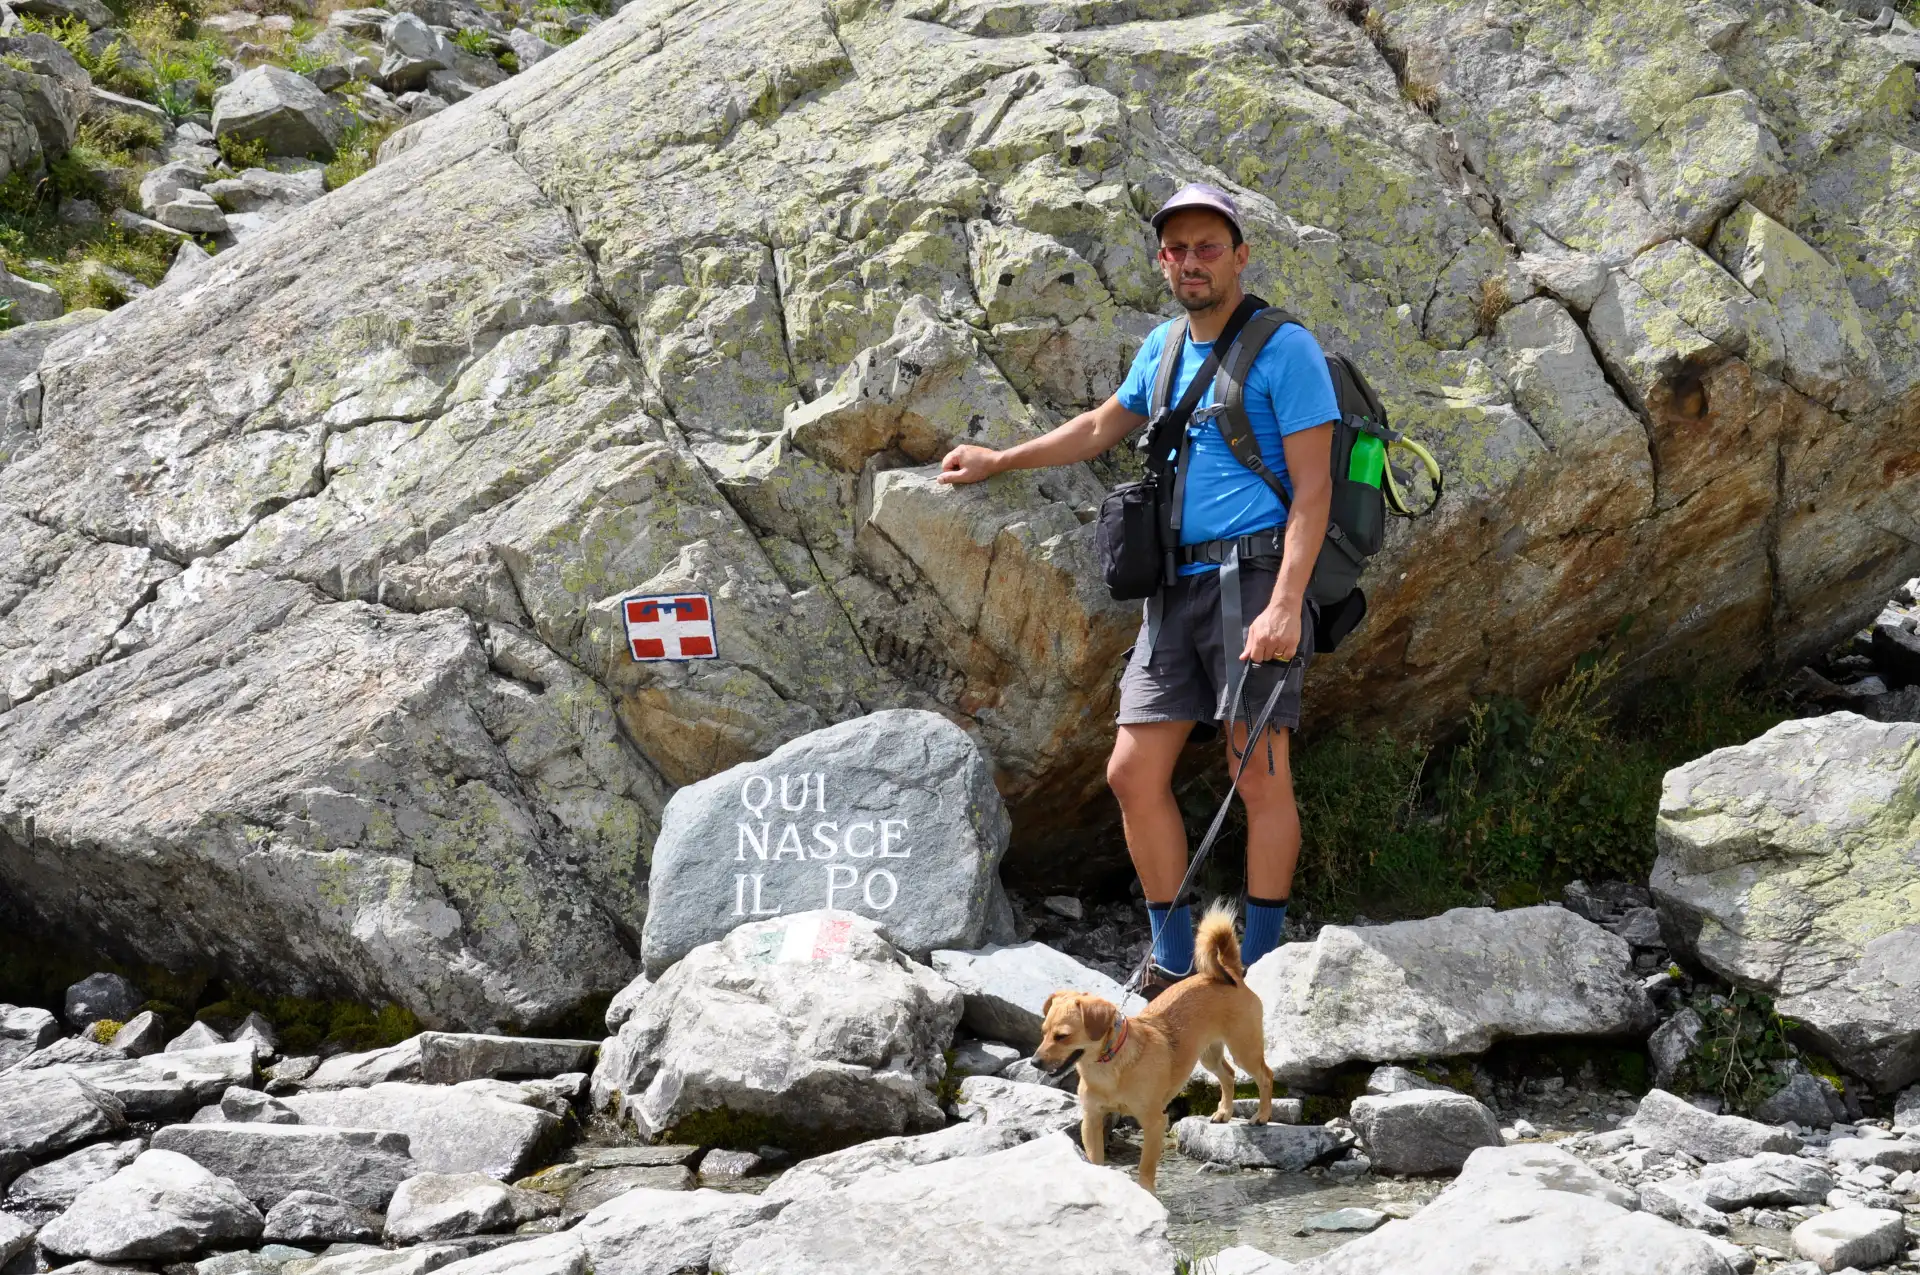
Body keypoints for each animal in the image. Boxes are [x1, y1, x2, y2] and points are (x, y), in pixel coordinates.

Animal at [1036, 902, 1274, 1190]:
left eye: (1062, 1036)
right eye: (1043, 1033)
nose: (1034, 1062)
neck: (1109, 1066)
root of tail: (1231, 973)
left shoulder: (1154, 1122)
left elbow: (1145, 1169)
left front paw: (1146, 1193)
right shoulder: (1091, 1120)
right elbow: (1095, 1160)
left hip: (1244, 1049)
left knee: (1265, 1075)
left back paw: (1262, 1115)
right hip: (1208, 1055)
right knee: (1228, 1075)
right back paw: (1224, 1112)